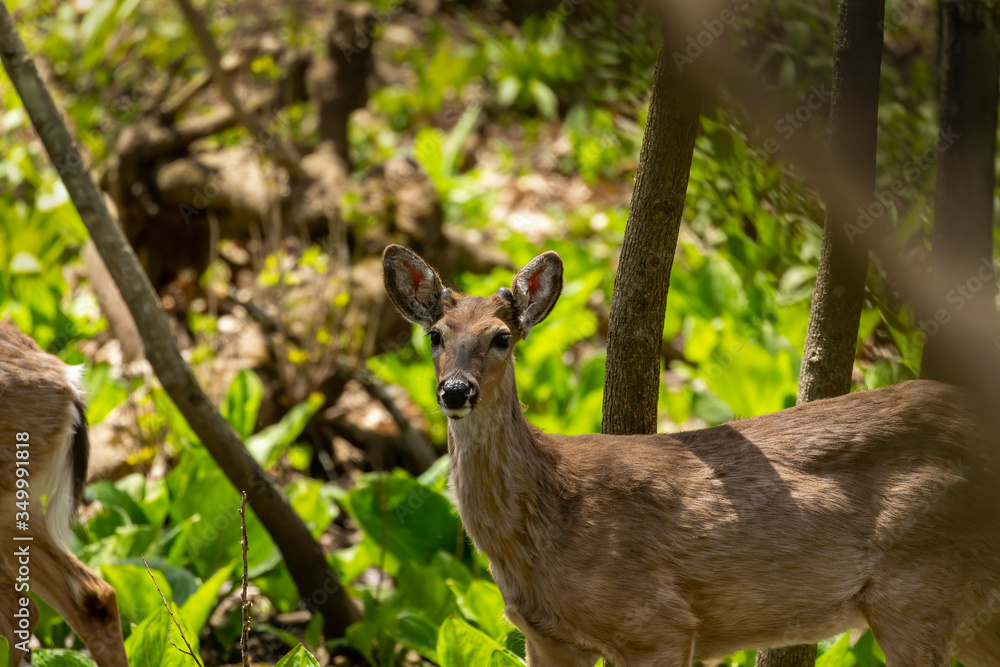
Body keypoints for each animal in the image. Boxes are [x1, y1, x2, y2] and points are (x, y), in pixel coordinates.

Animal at [380, 245, 1000, 667]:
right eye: (434, 335)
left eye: (502, 337)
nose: (455, 391)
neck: (551, 518)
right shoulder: (545, 635)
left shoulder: (657, 624)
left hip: (917, 582)